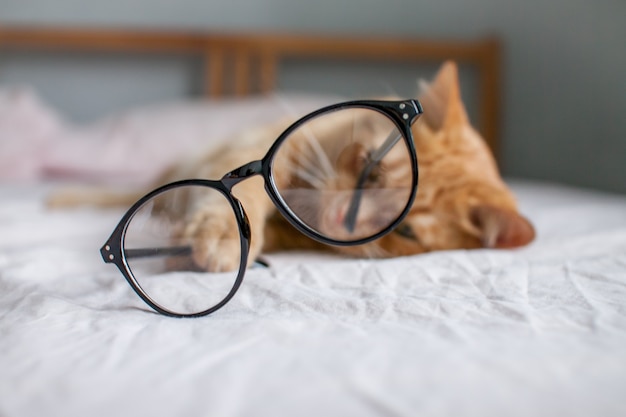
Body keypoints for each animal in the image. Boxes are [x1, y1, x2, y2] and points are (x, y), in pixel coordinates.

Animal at [50, 60, 532, 272]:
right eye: (370, 169)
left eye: (408, 233)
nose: (339, 220)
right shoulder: (254, 150)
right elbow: (240, 196)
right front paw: (224, 234)